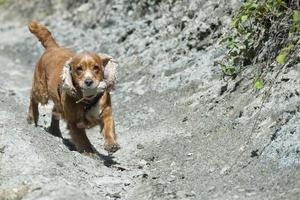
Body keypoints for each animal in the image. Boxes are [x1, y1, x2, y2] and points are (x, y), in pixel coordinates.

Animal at [26, 20, 119, 153]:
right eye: (79, 69)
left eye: (96, 67)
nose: (89, 81)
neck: (87, 101)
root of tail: (54, 47)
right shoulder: (74, 122)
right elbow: (82, 139)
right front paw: (89, 152)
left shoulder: (105, 111)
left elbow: (109, 126)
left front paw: (111, 144)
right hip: (41, 90)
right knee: (33, 97)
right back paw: (32, 116)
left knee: (55, 111)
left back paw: (55, 131)